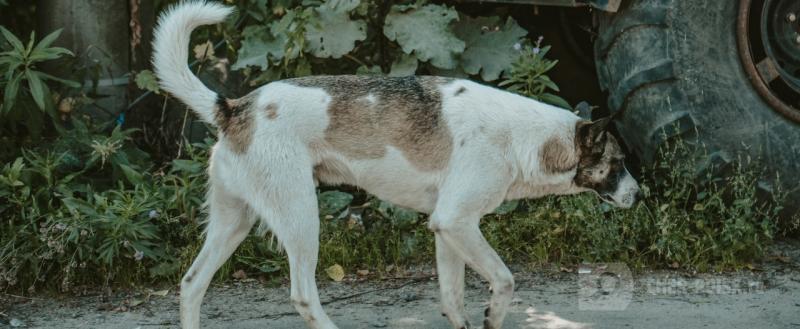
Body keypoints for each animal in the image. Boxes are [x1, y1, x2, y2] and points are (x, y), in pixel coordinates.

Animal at [153, 1, 640, 326]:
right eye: (617, 162)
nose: (640, 195)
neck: (523, 137)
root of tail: (236, 107)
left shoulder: (449, 230)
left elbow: (453, 298)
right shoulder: (458, 222)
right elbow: (504, 281)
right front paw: (494, 315)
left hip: (233, 222)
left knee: (191, 283)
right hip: (300, 217)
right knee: (302, 295)